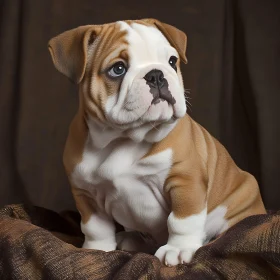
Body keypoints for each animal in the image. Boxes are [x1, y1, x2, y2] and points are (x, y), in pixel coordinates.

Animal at [48, 18, 266, 266]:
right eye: (118, 69)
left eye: (172, 61)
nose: (156, 74)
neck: (125, 137)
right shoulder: (85, 192)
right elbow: (95, 227)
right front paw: (98, 249)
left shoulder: (185, 180)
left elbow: (182, 220)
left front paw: (179, 249)